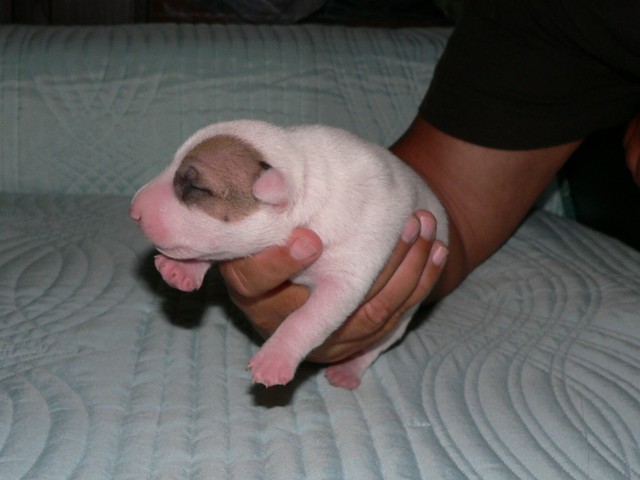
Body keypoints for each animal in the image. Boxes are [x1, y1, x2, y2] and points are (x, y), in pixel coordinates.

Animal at [130, 120, 448, 389]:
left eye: (196, 186)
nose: (133, 210)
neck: (301, 168)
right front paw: (184, 268)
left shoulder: (349, 269)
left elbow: (306, 318)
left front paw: (275, 358)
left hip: (400, 320)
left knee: (374, 349)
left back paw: (348, 370)